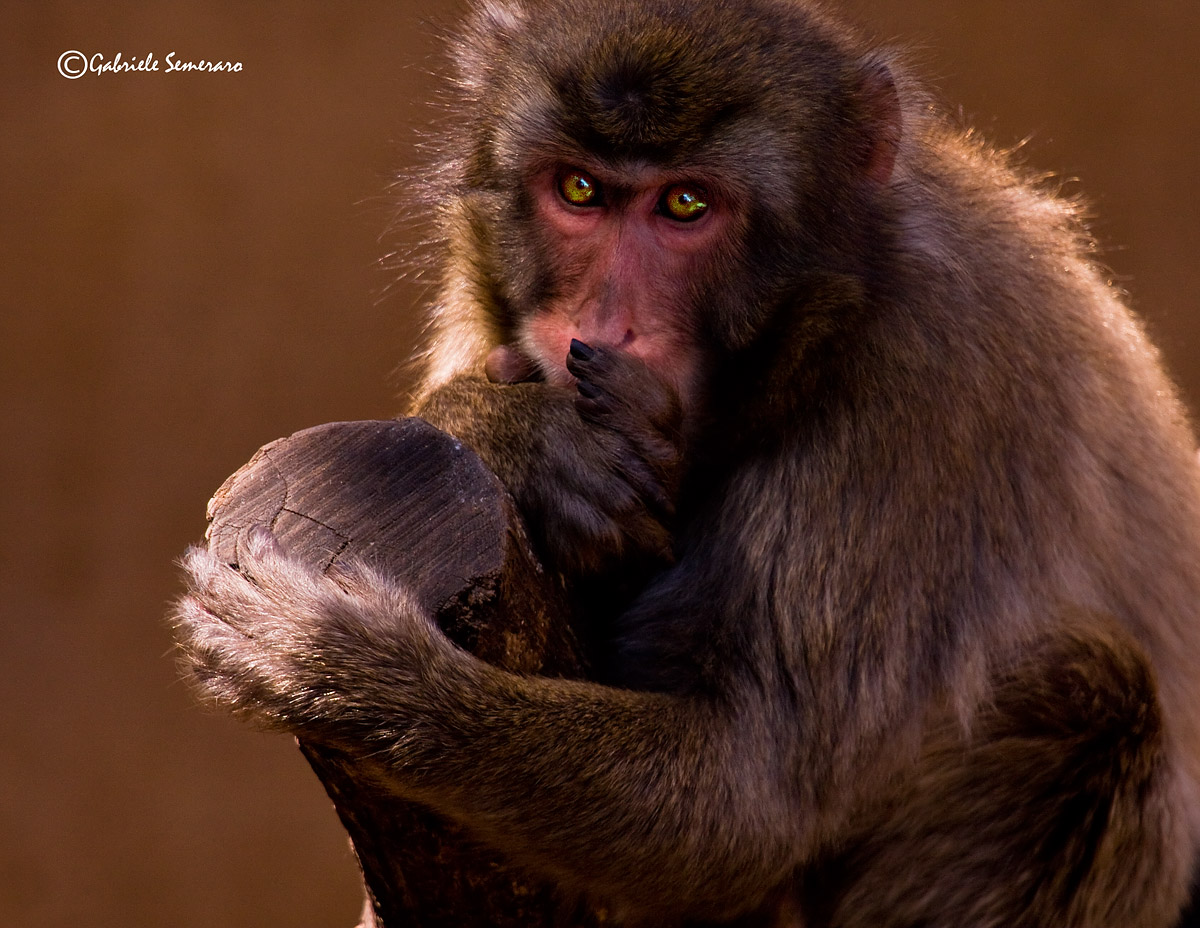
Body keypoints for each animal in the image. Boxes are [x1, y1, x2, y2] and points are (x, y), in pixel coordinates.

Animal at [172, 0, 1200, 924]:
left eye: (685, 204)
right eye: (579, 192)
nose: (604, 324)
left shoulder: (927, 383)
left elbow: (749, 800)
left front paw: (344, 672)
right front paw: (516, 434)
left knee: (1101, 704)